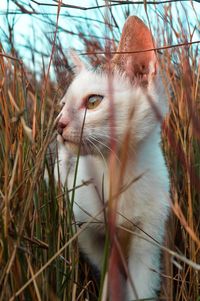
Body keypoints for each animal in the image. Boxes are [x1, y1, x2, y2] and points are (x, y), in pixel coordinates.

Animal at [55, 15, 170, 300]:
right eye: (62, 105)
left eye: (93, 102)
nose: (58, 124)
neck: (117, 170)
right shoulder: (86, 228)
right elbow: (108, 269)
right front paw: (112, 289)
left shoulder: (148, 235)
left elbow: (142, 284)